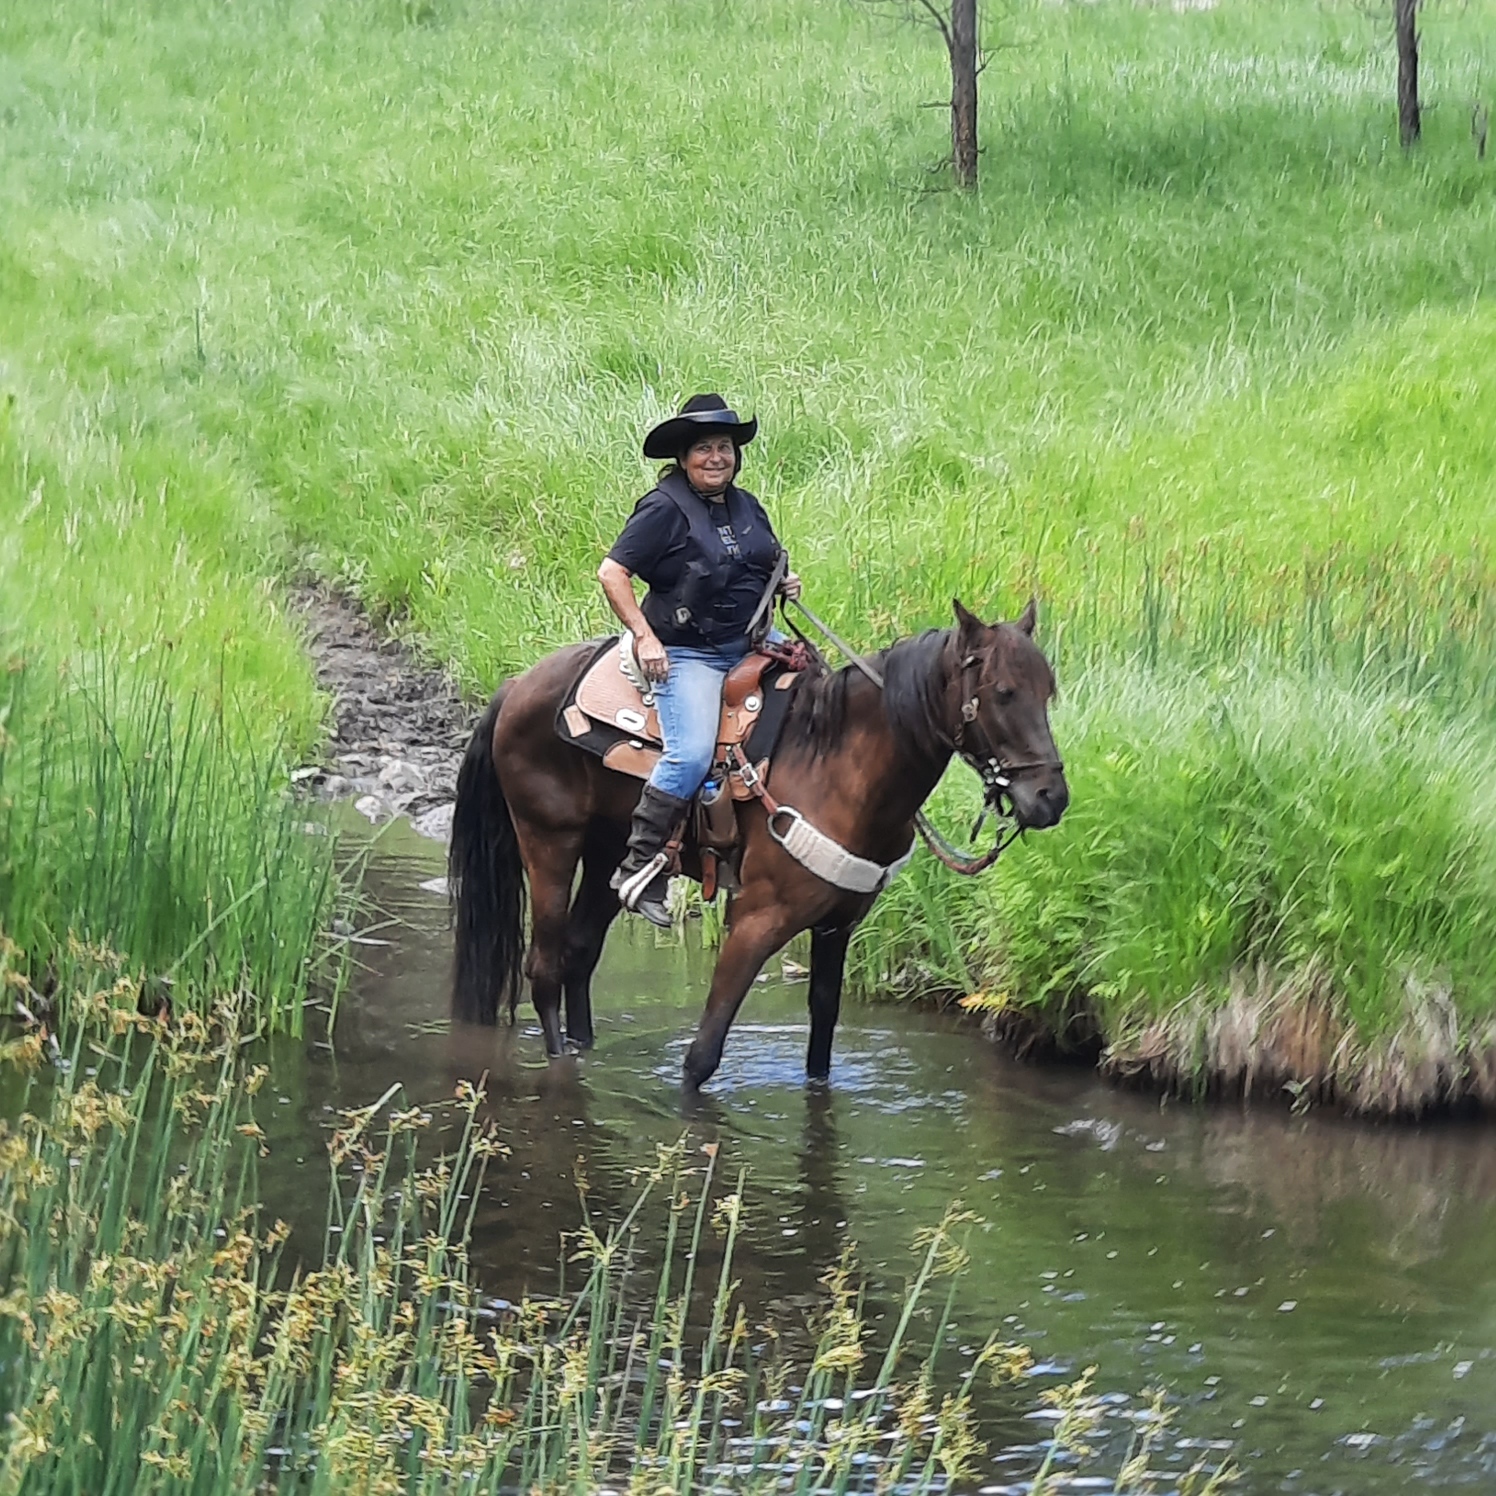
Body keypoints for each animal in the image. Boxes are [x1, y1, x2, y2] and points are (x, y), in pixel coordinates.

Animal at [448, 599, 1068, 1089]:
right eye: (1003, 692)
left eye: (1049, 691)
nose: (1051, 798)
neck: (837, 766)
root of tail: (518, 686)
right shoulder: (755, 920)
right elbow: (702, 1054)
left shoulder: (837, 924)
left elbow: (821, 1044)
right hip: (549, 842)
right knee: (545, 968)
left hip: (608, 851)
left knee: (579, 953)